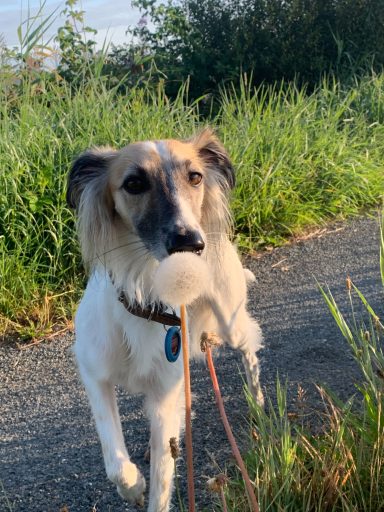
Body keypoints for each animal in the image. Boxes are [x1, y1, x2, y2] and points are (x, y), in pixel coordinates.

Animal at [67, 129, 264, 512]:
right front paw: (132, 486)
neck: (147, 297)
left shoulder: (164, 394)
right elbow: (114, 458)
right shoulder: (93, 370)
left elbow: (163, 478)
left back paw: (258, 400)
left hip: (229, 323)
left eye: (195, 177)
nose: (192, 243)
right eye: (134, 183)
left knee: (250, 344)